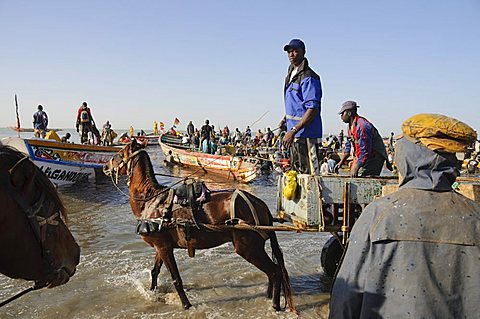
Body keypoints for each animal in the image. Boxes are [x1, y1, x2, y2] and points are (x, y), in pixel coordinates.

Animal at [103, 140, 294, 312]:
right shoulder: (161, 246)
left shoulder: (164, 247)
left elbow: (176, 279)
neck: (151, 201)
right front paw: (152, 292)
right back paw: (269, 295)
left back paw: (275, 305)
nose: (105, 166)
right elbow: (155, 271)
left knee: (275, 271)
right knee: (272, 272)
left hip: (248, 247)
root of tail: (261, 205)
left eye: (119, 154)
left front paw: (186, 304)